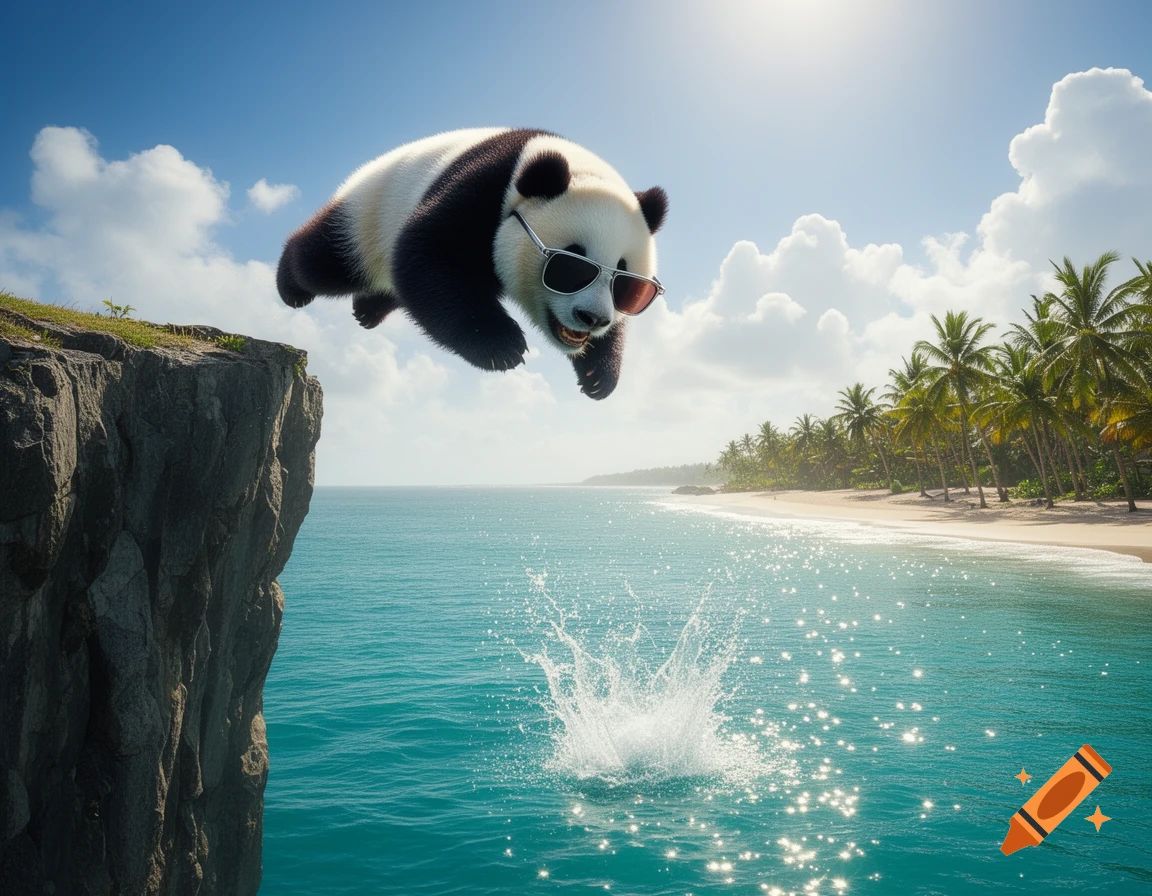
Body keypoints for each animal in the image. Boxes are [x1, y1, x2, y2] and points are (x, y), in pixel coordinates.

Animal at [276, 128, 667, 399]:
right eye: (571, 265)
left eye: (625, 283)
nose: (593, 319)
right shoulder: (485, 189)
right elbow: (428, 255)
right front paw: (501, 346)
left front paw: (599, 375)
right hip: (372, 213)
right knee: (328, 260)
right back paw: (291, 286)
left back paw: (368, 310)